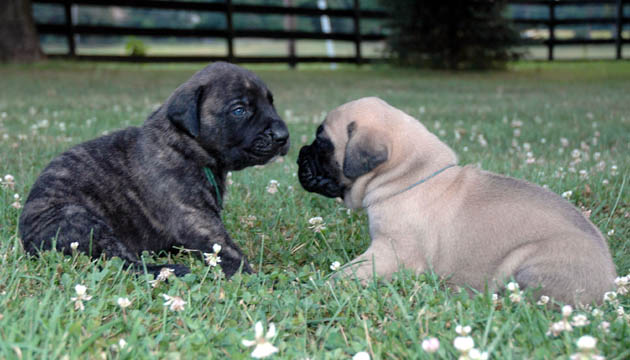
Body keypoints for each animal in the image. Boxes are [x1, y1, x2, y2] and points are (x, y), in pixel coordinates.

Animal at [19, 62, 292, 278]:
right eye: (239, 110)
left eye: (270, 102)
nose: (283, 136)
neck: (185, 145)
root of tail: (27, 243)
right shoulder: (197, 220)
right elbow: (228, 251)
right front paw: (258, 279)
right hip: (81, 221)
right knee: (122, 263)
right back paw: (170, 270)